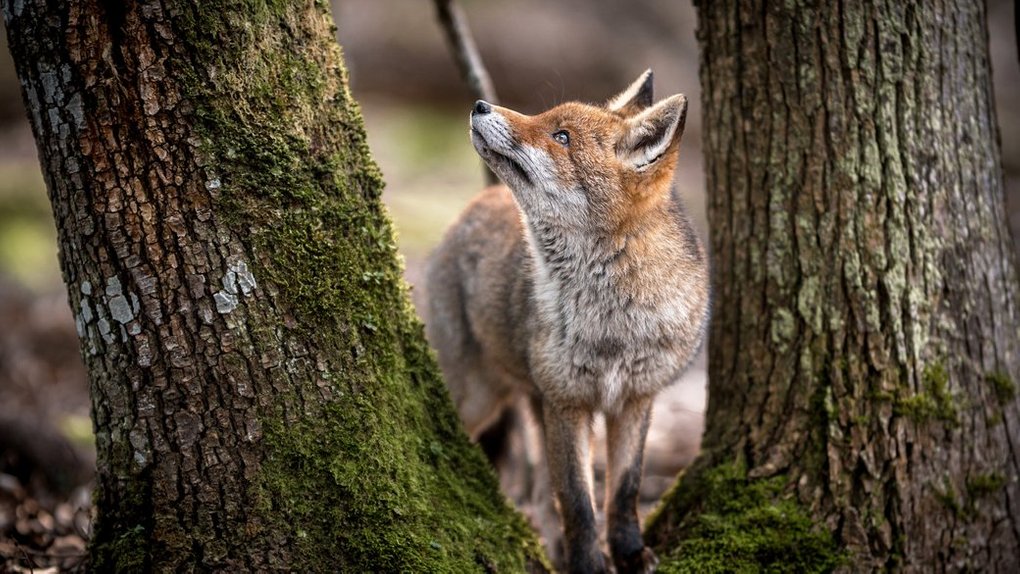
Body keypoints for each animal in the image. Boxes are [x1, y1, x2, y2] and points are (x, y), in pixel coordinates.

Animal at [422, 71, 709, 574]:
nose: (479, 105)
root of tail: (478, 199)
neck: (612, 324)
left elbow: (623, 491)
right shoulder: (566, 403)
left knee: (540, 496)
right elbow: (577, 501)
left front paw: (629, 554)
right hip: (477, 398)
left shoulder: (636, 399)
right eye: (545, 118)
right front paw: (589, 565)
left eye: (561, 137)